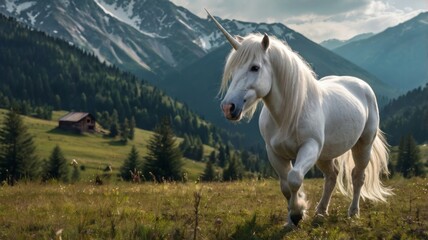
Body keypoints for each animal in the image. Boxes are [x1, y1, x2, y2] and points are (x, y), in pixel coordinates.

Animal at [206, 9, 392, 227]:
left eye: (255, 67)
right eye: (233, 70)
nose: (229, 107)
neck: (288, 114)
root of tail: (362, 85)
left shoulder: (309, 147)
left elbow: (295, 178)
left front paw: (297, 212)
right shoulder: (275, 153)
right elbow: (285, 186)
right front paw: (291, 219)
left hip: (363, 144)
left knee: (357, 176)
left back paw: (353, 212)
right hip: (325, 154)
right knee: (331, 177)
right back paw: (321, 212)